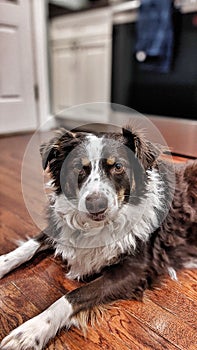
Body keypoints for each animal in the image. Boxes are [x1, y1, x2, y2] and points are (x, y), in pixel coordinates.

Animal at [0, 126, 197, 350]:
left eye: (118, 166)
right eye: (78, 167)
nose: (96, 205)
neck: (97, 226)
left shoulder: (133, 271)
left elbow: (71, 296)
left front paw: (32, 330)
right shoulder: (61, 228)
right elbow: (27, 247)